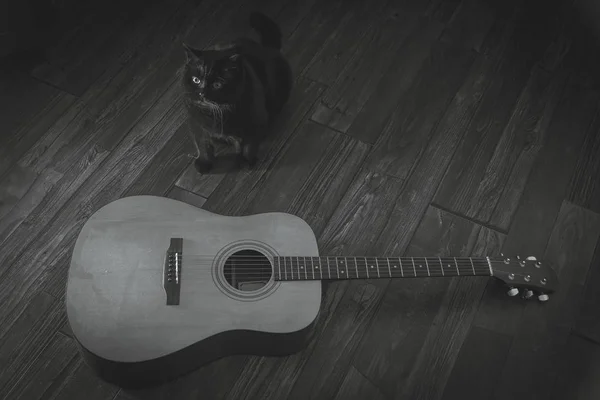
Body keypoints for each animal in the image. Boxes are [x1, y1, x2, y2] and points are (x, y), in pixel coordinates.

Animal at [184, 12, 294, 172]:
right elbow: (202, 144)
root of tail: (266, 48)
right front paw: (203, 164)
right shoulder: (195, 123)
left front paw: (247, 162)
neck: (216, 114)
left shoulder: (255, 121)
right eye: (196, 80)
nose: (201, 93)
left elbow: (249, 145)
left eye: (217, 84)